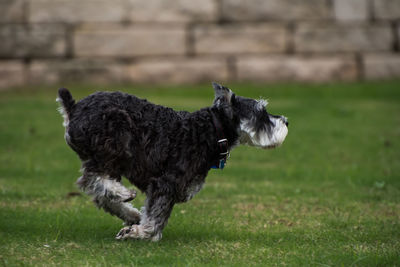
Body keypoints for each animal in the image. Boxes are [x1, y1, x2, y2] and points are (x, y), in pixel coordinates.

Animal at [57, 82, 288, 242]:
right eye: (261, 112)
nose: (286, 121)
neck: (209, 131)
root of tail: (73, 109)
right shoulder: (165, 184)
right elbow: (155, 218)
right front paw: (139, 233)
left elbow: (156, 216)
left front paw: (143, 231)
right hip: (113, 142)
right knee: (91, 180)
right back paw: (124, 195)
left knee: (100, 194)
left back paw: (130, 212)